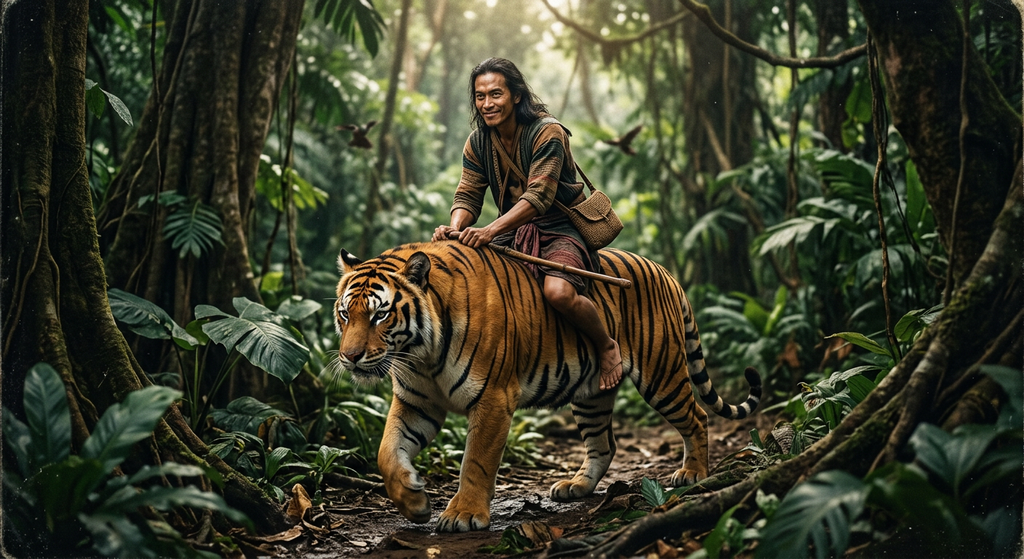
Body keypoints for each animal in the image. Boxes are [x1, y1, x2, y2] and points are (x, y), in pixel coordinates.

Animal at [332, 241, 761, 533]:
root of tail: (665, 271)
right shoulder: (415, 402)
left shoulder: (493, 398)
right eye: (345, 314)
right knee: (605, 444)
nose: (350, 357)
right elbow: (387, 454)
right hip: (591, 395)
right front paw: (415, 503)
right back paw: (576, 486)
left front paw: (463, 514)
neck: (420, 353)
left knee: (698, 416)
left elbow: (476, 461)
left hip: (662, 372)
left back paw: (693, 474)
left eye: (380, 315)